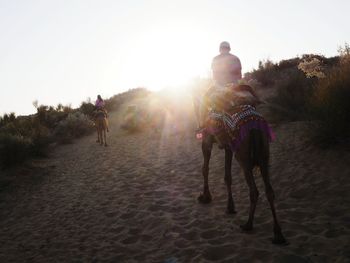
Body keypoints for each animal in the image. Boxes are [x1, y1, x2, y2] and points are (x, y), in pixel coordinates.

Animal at [197, 84, 288, 245]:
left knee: (254, 191)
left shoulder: (207, 139)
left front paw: (205, 197)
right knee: (269, 191)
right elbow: (227, 176)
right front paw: (230, 207)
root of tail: (254, 126)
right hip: (264, 156)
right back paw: (278, 234)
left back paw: (248, 224)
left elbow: (205, 169)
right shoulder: (228, 146)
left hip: (243, 158)